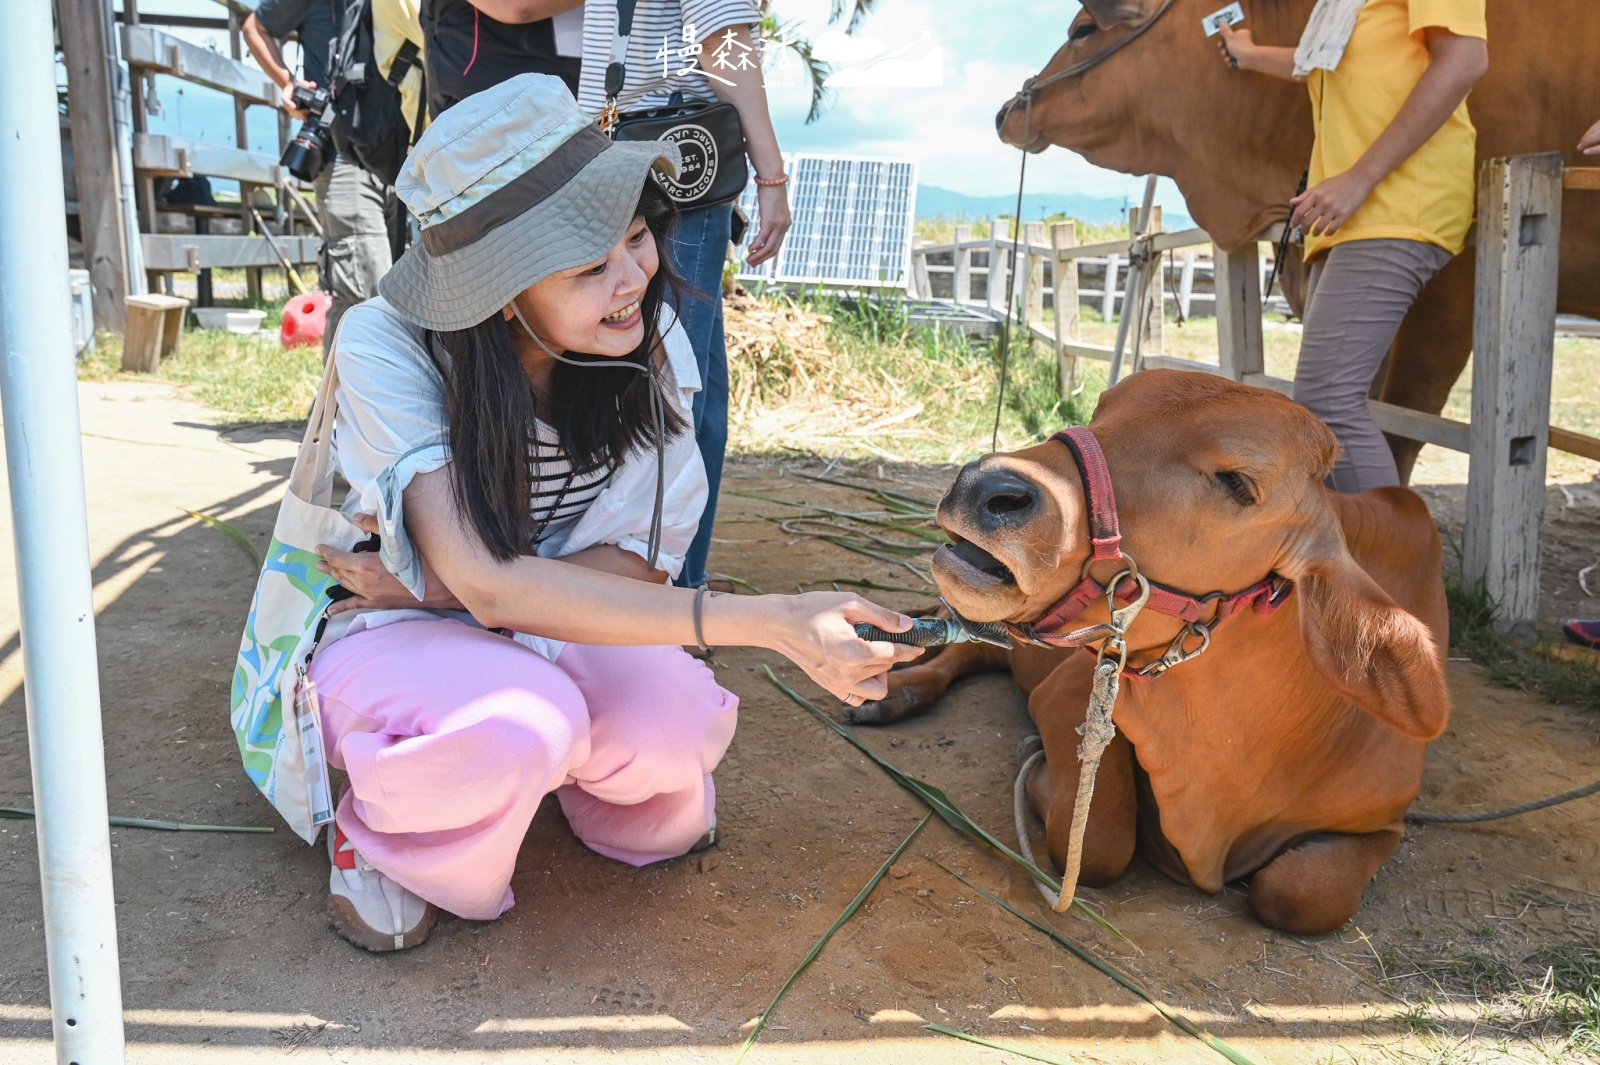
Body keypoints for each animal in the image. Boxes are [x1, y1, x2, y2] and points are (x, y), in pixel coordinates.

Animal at [857, 370, 1459, 927]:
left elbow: (1301, 895)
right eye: (1102, 409)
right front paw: (1041, 776)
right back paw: (892, 691)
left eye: (1238, 482)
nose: (983, 485)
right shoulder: (1069, 689)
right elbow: (1098, 842)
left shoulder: (1385, 823)